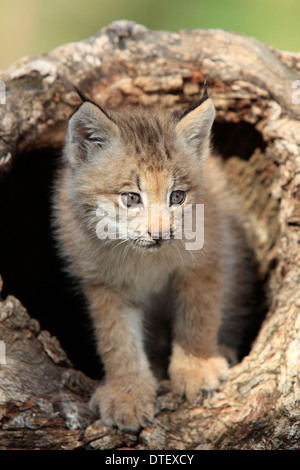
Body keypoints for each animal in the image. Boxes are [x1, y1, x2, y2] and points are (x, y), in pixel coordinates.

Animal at [52, 86, 254, 432]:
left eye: (178, 197)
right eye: (131, 198)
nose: (159, 235)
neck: (142, 256)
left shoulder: (206, 260)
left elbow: (199, 316)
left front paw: (196, 368)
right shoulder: (103, 282)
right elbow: (117, 339)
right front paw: (128, 394)